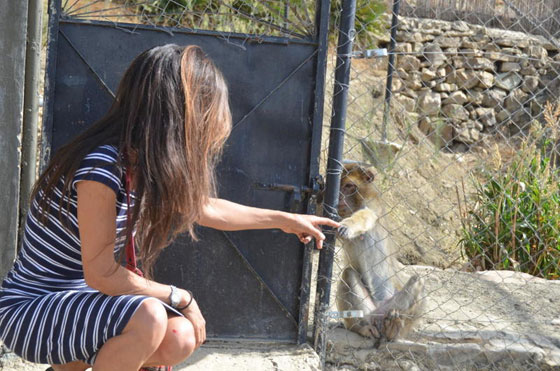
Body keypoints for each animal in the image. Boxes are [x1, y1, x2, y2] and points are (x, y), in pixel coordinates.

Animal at [332, 164, 424, 348]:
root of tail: (379, 313)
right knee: (348, 273)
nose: (339, 197)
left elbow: (365, 216)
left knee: (418, 282)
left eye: (349, 186)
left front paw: (348, 226)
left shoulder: (372, 205)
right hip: (369, 311)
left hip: (392, 307)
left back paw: (393, 330)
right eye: (340, 185)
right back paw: (361, 328)